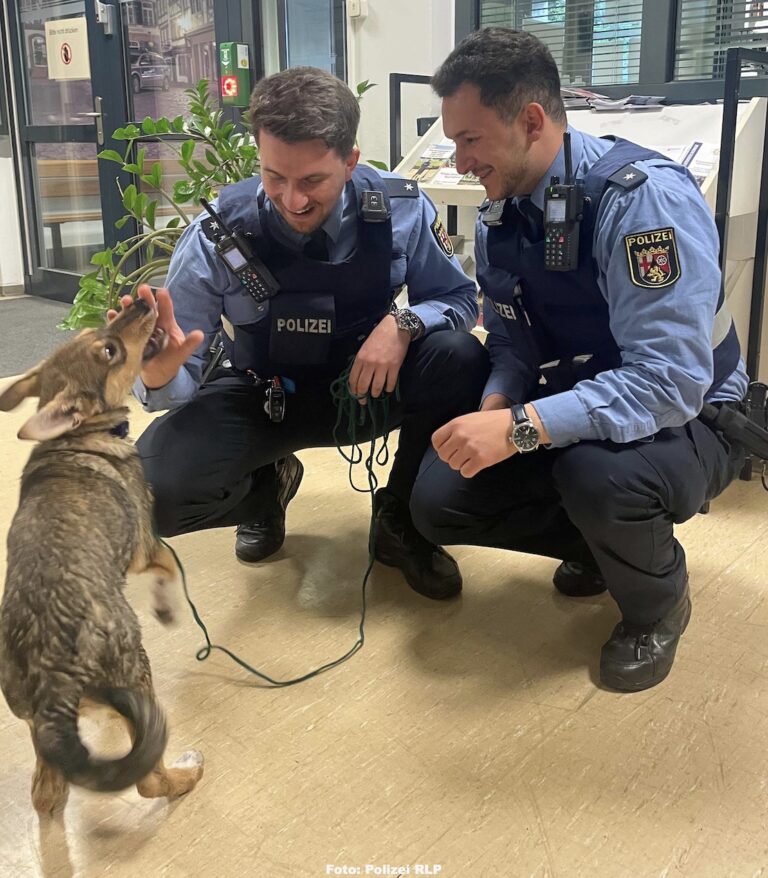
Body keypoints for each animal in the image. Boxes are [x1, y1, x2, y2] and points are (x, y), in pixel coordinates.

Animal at [0, 300, 204, 816]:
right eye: (109, 351)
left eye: (97, 334)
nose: (142, 301)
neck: (76, 436)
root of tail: (52, 680)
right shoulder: (145, 547)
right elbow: (169, 568)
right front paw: (167, 607)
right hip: (138, 670)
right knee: (148, 778)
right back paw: (185, 774)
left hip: (36, 725)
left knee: (48, 791)